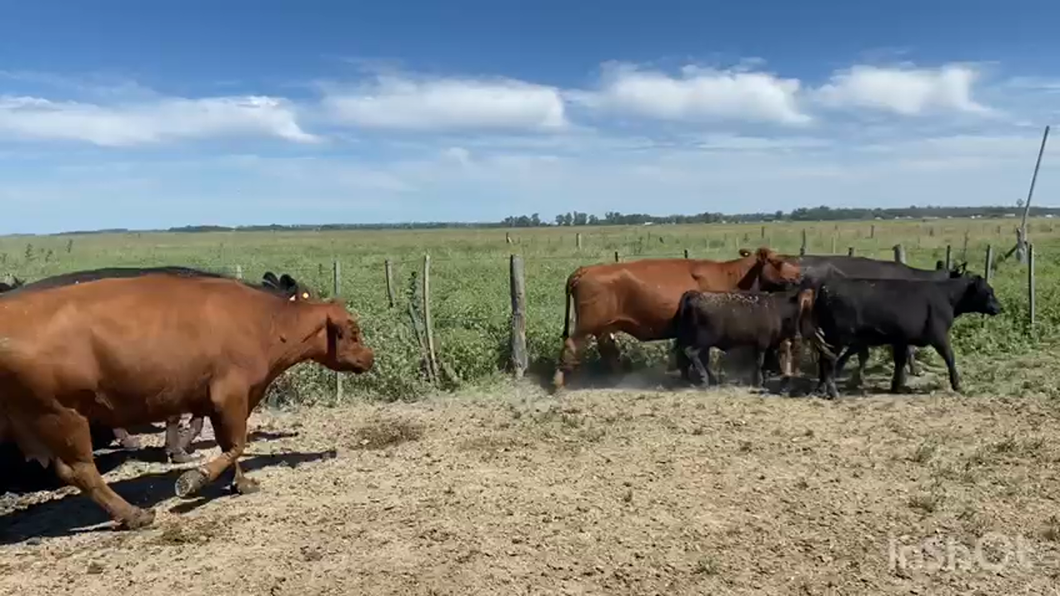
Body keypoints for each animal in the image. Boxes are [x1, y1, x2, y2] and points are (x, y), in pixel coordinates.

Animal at [0, 270, 373, 528]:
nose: (370, 358)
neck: (265, 322)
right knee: (81, 472)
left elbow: (230, 446)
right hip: (62, 414)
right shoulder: (230, 395)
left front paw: (240, 483)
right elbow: (236, 444)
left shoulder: (222, 400)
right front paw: (195, 479)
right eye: (354, 332)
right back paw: (134, 515)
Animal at [674, 288, 805, 390]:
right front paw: (759, 383)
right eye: (793, 315)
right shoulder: (762, 344)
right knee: (691, 352)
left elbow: (758, 363)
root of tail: (696, 295)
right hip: (705, 340)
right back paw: (705, 380)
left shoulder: (758, 345)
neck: (775, 308)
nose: (798, 336)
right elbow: (759, 362)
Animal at [801, 275, 1000, 398]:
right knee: (829, 362)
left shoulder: (901, 339)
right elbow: (950, 357)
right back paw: (833, 392)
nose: (999, 307)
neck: (946, 296)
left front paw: (896, 386)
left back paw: (822, 389)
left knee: (824, 361)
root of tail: (825, 287)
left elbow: (900, 361)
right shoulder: (938, 336)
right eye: (988, 291)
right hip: (836, 338)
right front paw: (957, 384)